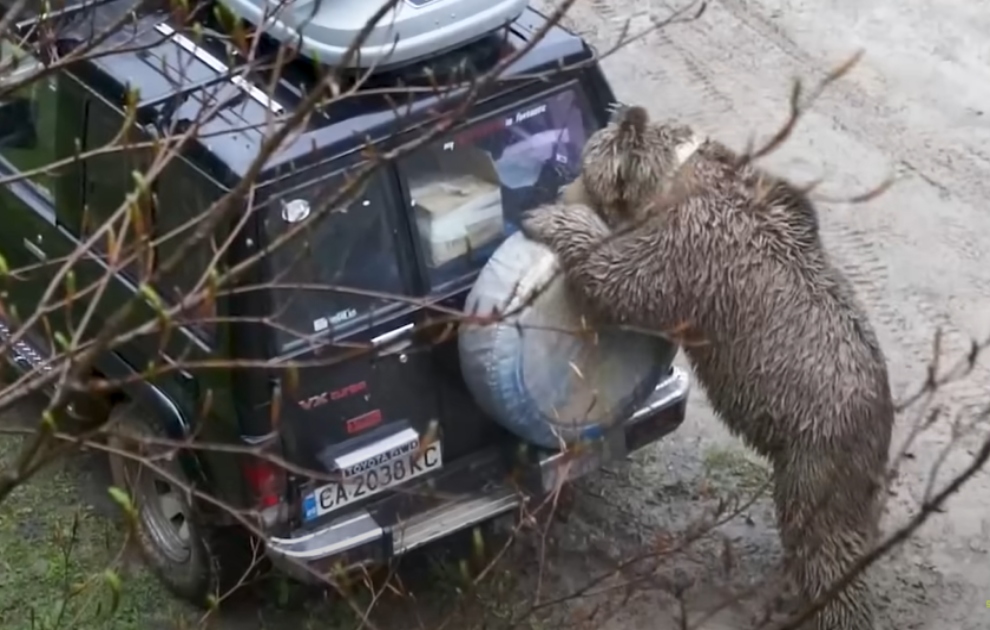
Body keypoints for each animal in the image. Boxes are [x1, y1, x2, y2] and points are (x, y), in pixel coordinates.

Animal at [524, 110, 896, 630]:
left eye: (580, 167)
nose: (561, 191)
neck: (673, 179)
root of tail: (884, 414)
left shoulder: (691, 248)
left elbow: (623, 280)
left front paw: (552, 220)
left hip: (819, 452)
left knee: (822, 539)